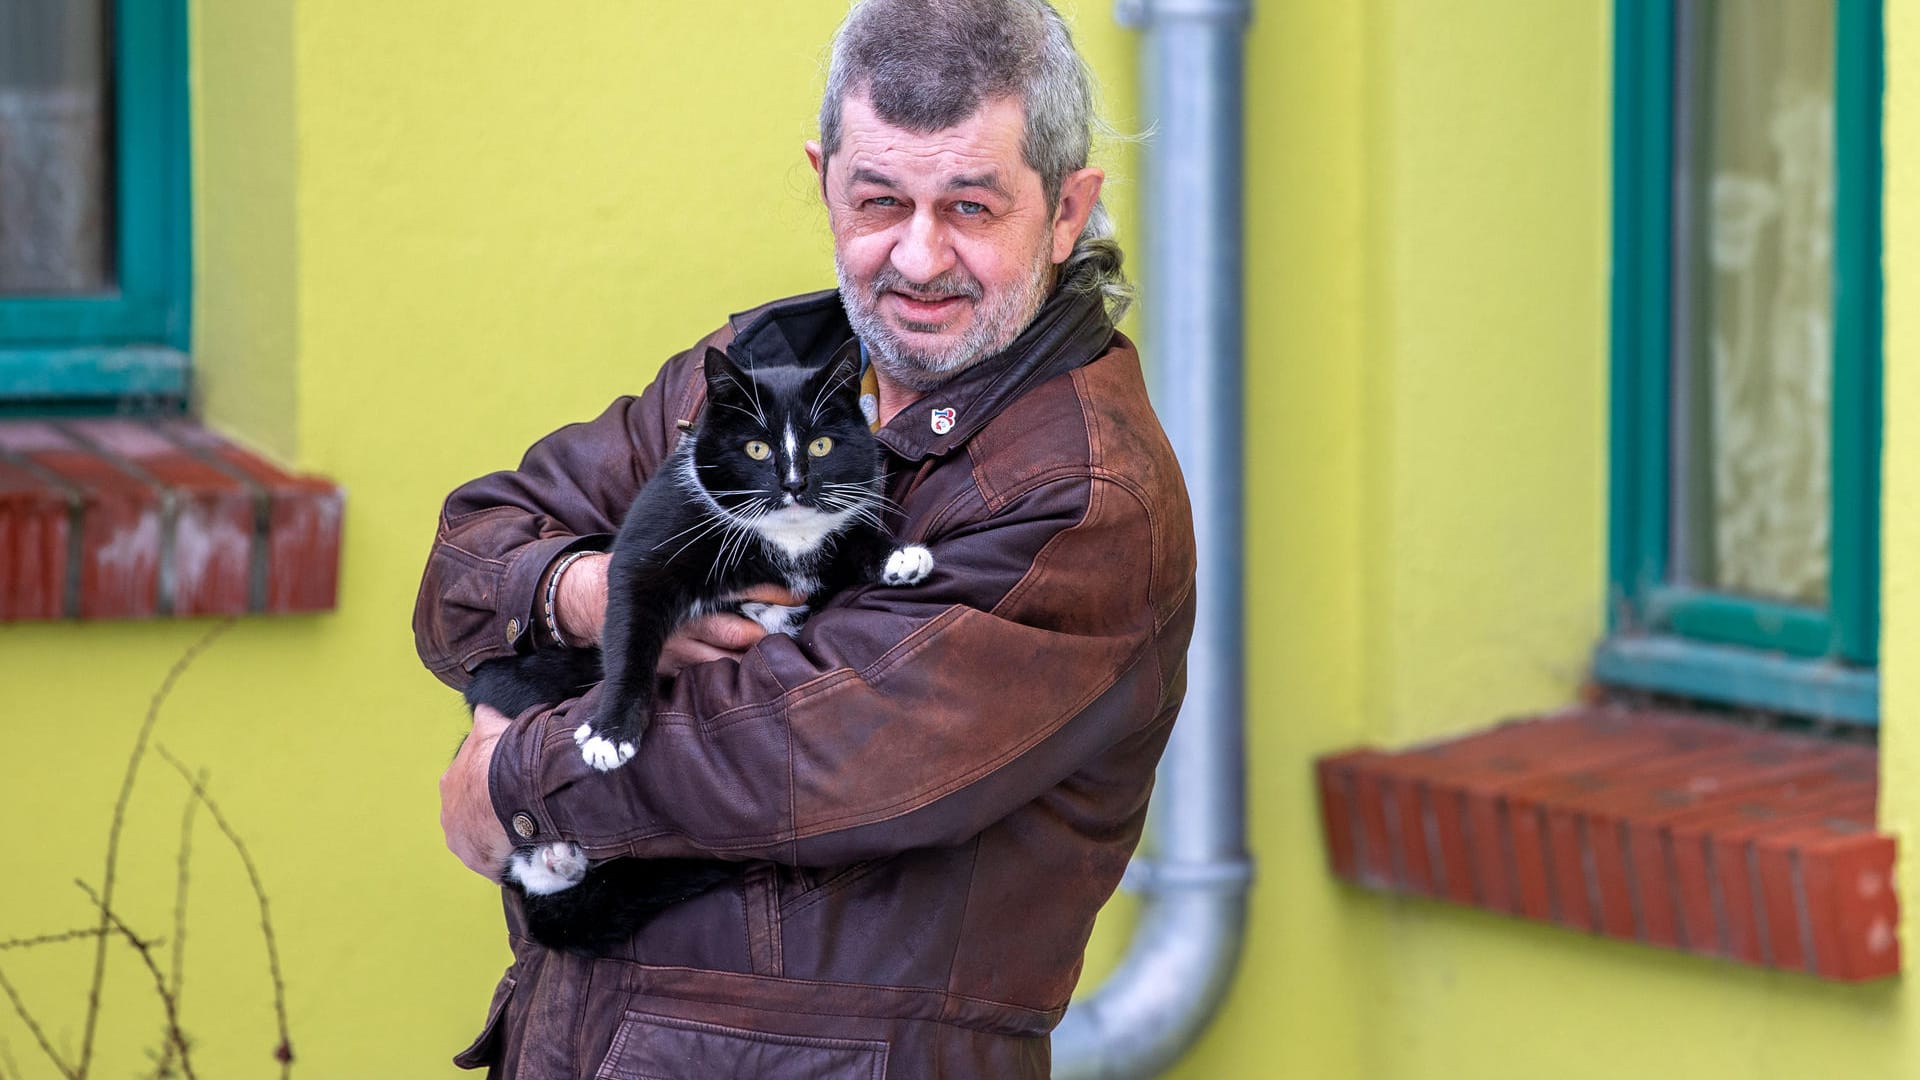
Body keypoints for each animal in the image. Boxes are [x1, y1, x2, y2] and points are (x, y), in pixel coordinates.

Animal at [472, 343, 936, 949]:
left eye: (821, 445)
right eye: (757, 448)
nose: (794, 485)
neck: (784, 538)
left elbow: (851, 537)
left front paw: (897, 554)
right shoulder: (649, 549)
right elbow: (631, 632)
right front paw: (611, 733)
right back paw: (552, 855)